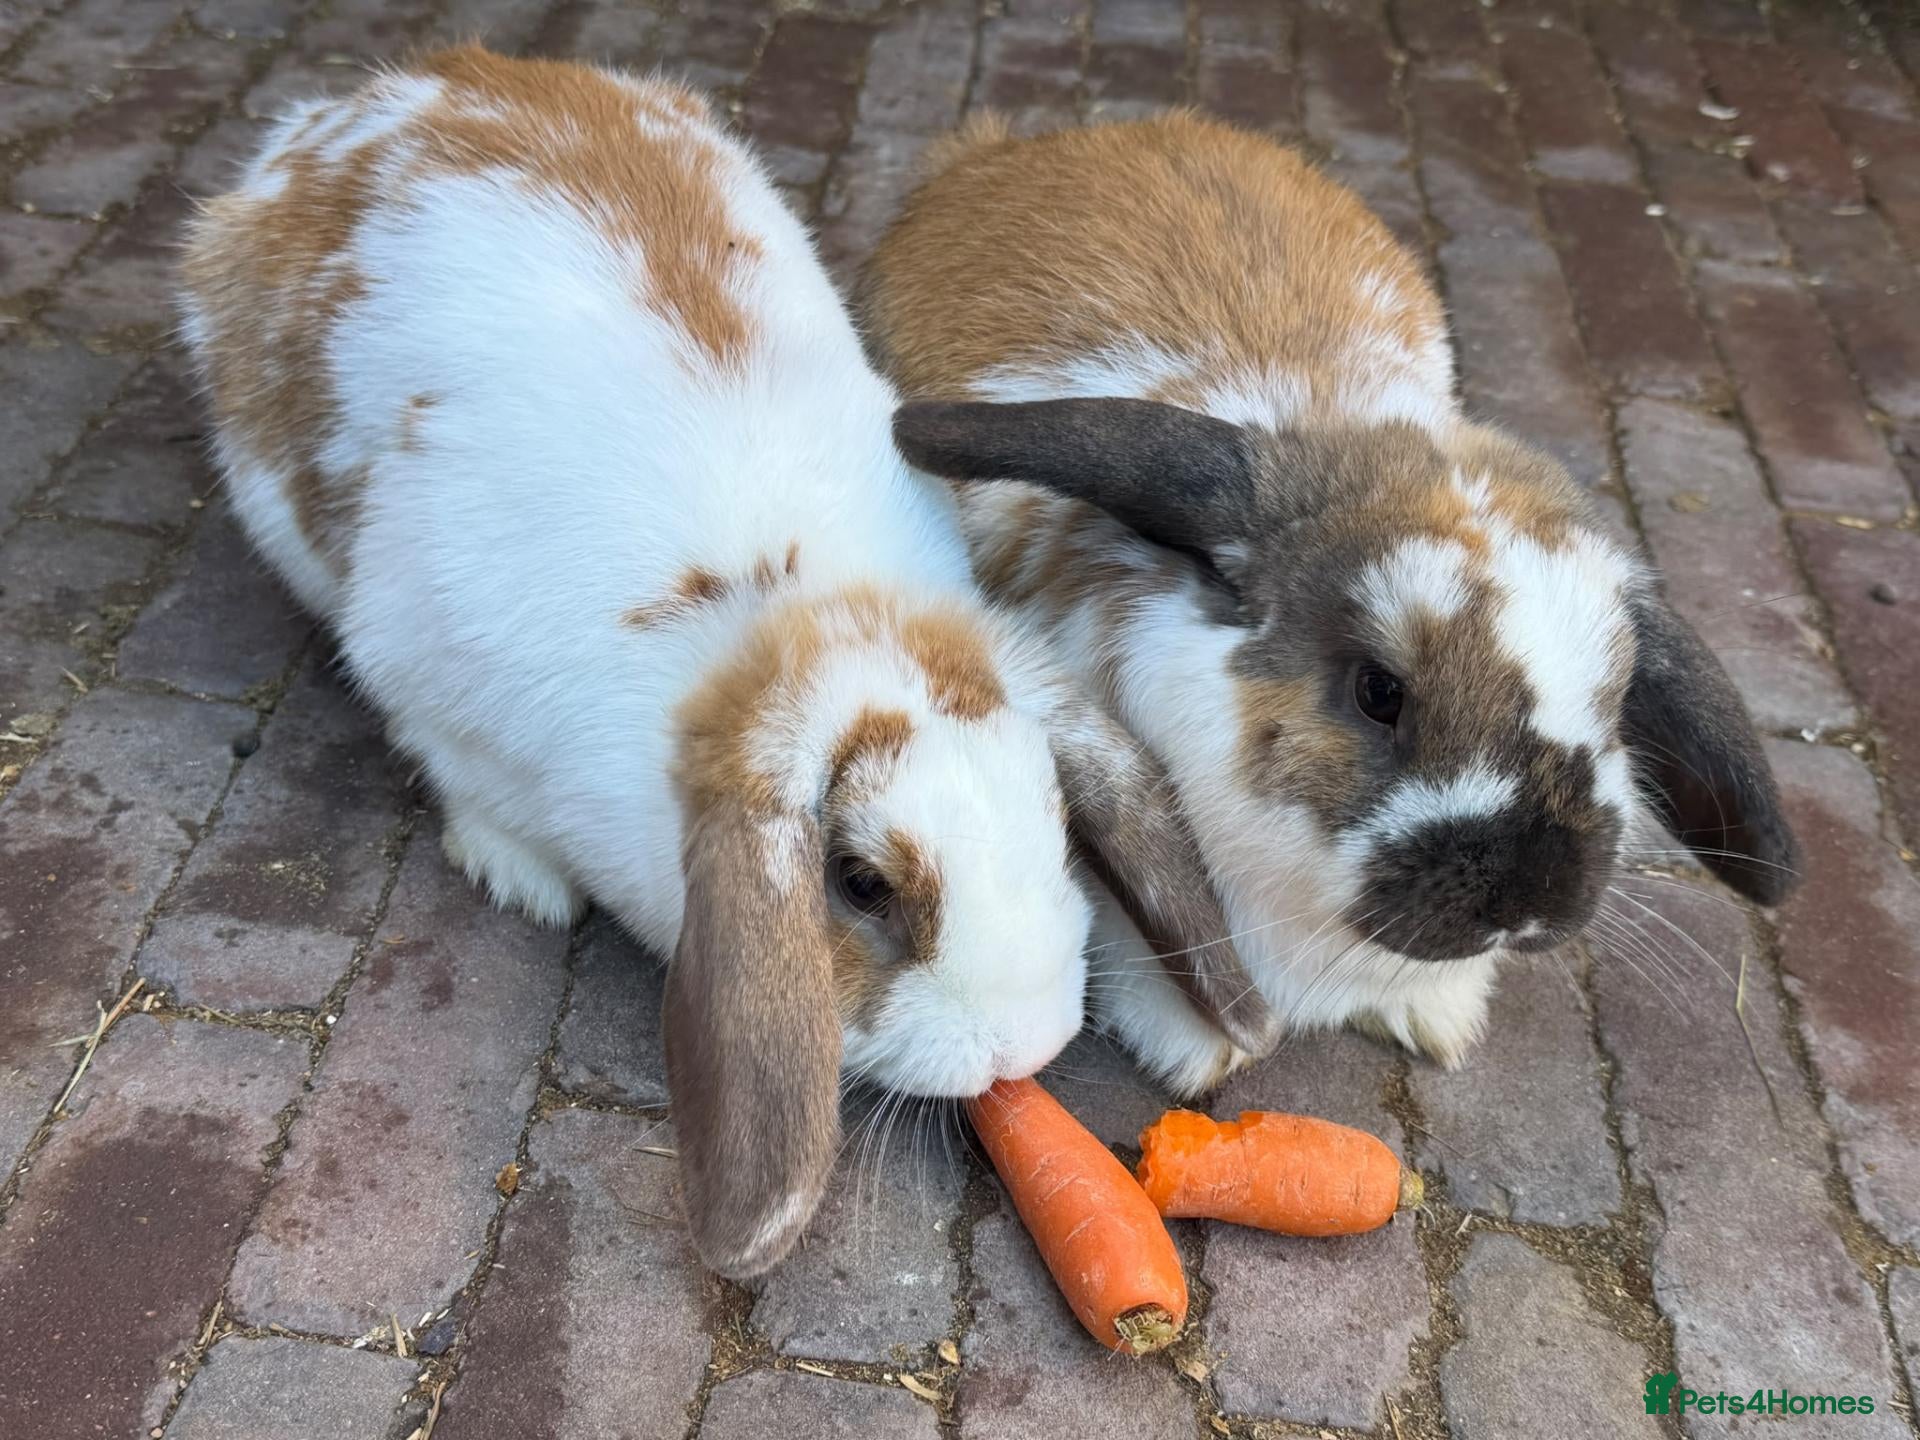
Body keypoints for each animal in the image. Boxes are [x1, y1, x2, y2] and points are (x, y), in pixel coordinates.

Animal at [177, 55, 1273, 1279]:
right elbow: (456, 772)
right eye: (860, 883)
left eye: (1054, 818)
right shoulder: (412, 656)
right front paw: (522, 875)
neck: (789, 610)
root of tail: (338, 120)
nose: (1019, 1046)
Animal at [861, 111, 1800, 1091]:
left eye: (1614, 709)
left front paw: (1437, 1020)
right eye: (1379, 692)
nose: (1524, 897)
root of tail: (1009, 147)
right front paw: (1196, 1051)